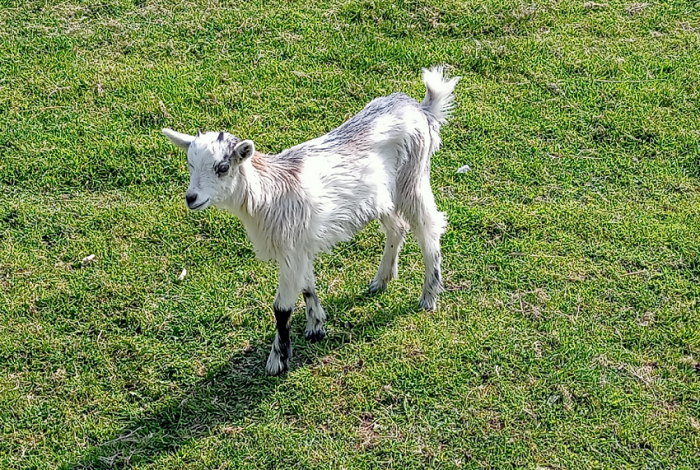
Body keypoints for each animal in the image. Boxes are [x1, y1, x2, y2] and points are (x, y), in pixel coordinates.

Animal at [162, 67, 462, 374]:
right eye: (190, 164)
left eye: (222, 168)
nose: (191, 198)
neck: (269, 193)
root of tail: (421, 109)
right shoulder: (299, 246)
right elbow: (307, 285)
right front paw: (316, 325)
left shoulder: (291, 247)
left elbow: (281, 308)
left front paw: (277, 359)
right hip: (382, 197)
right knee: (397, 228)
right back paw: (381, 280)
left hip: (412, 179)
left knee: (429, 228)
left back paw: (429, 295)